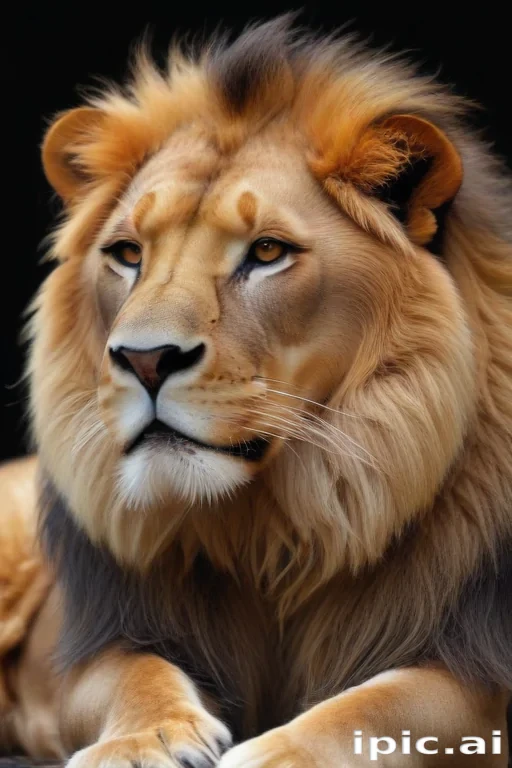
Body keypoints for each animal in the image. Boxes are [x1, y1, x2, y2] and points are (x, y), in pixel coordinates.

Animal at [1, 14, 512, 767]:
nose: (145, 359)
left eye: (267, 252)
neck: (271, 531)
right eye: (127, 254)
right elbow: (131, 671)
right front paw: (143, 738)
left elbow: (382, 704)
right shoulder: (82, 643)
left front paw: (274, 752)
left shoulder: (477, 660)